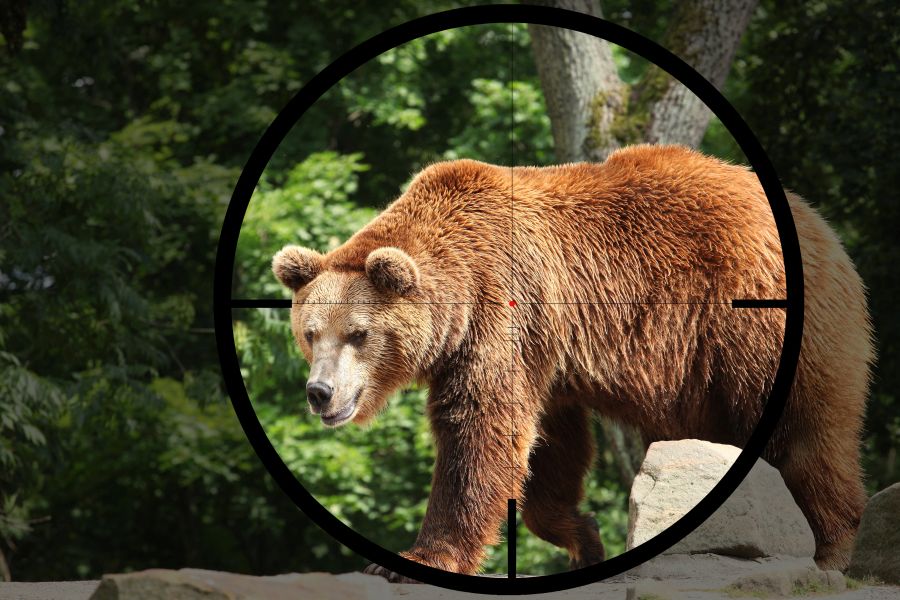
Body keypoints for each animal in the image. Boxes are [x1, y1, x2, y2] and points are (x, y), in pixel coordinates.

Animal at [268, 143, 872, 580]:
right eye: (310, 334)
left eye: (358, 334)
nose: (320, 392)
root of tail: (824, 227)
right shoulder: (546, 356)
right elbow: (549, 448)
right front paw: (584, 535)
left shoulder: (500, 313)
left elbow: (480, 431)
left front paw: (417, 558)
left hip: (755, 325)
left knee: (806, 430)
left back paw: (832, 548)